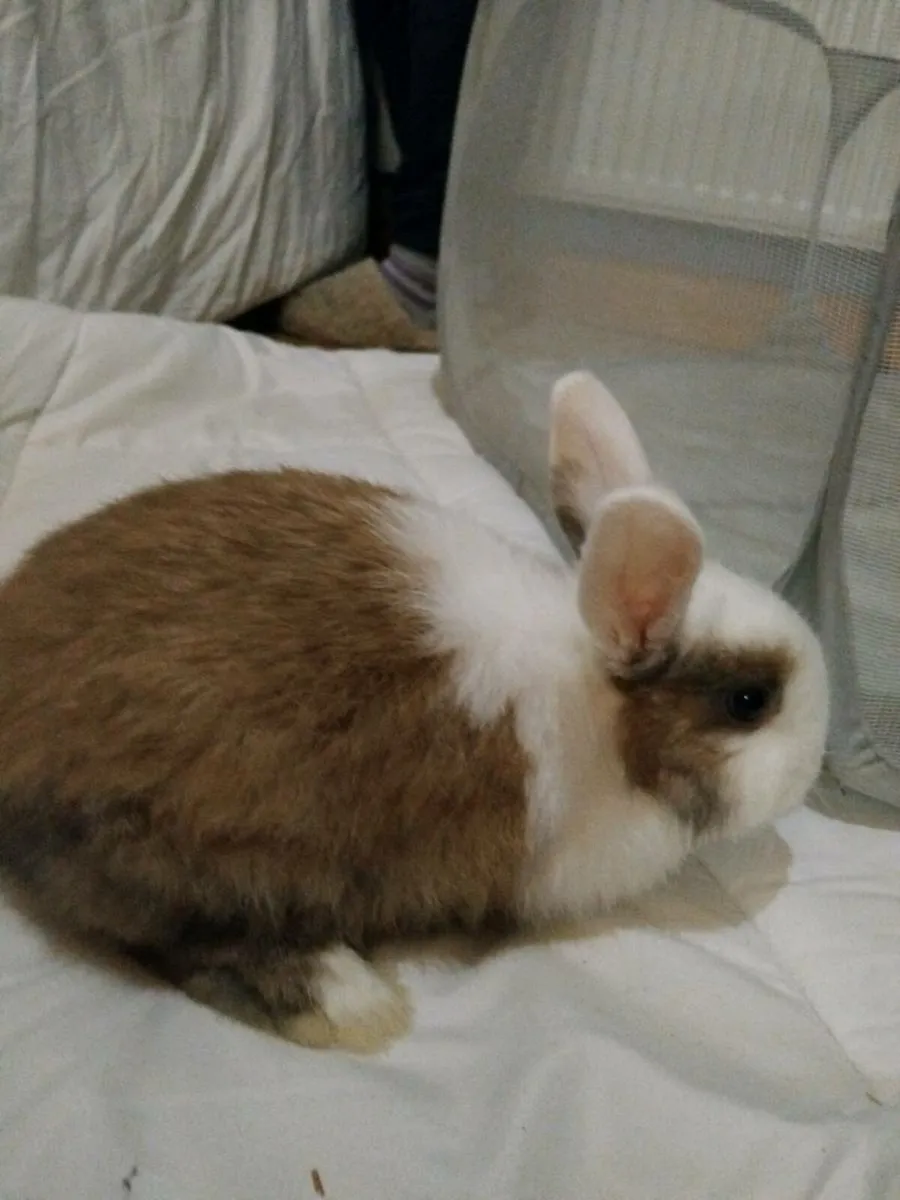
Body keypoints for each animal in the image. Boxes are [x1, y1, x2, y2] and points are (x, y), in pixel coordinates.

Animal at [0, 370, 828, 1053]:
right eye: (750, 702)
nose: (815, 760)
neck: (604, 710)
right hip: (190, 857)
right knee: (190, 943)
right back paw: (348, 1004)